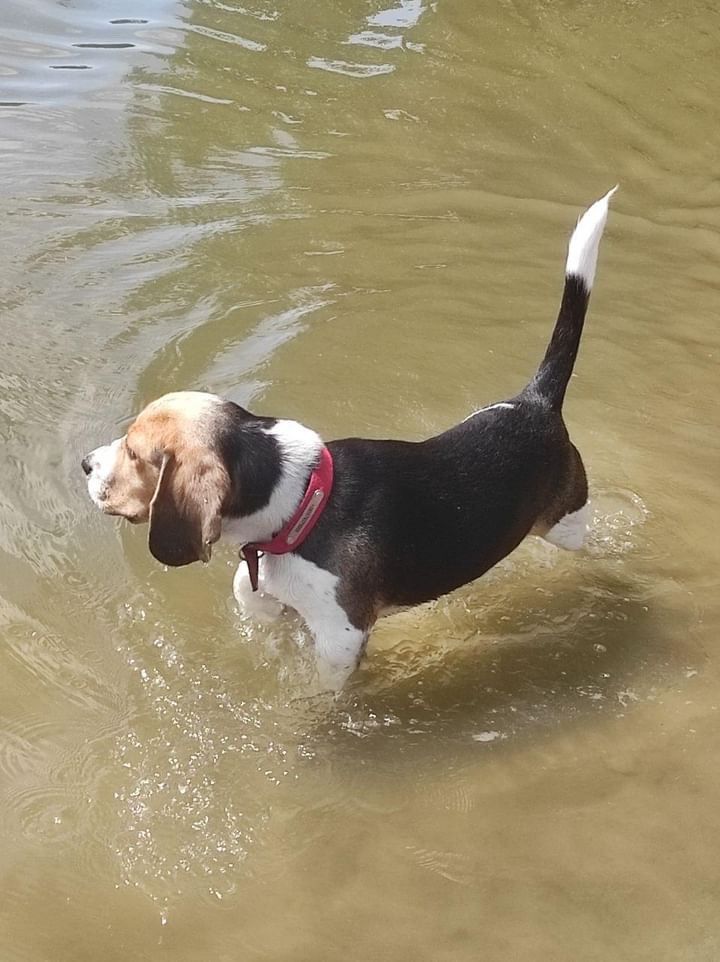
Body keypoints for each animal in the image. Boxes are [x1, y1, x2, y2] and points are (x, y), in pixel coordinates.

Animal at [83, 188, 612, 688]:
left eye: (135, 452)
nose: (85, 464)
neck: (299, 504)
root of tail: (535, 400)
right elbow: (247, 590)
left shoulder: (341, 637)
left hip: (566, 522)